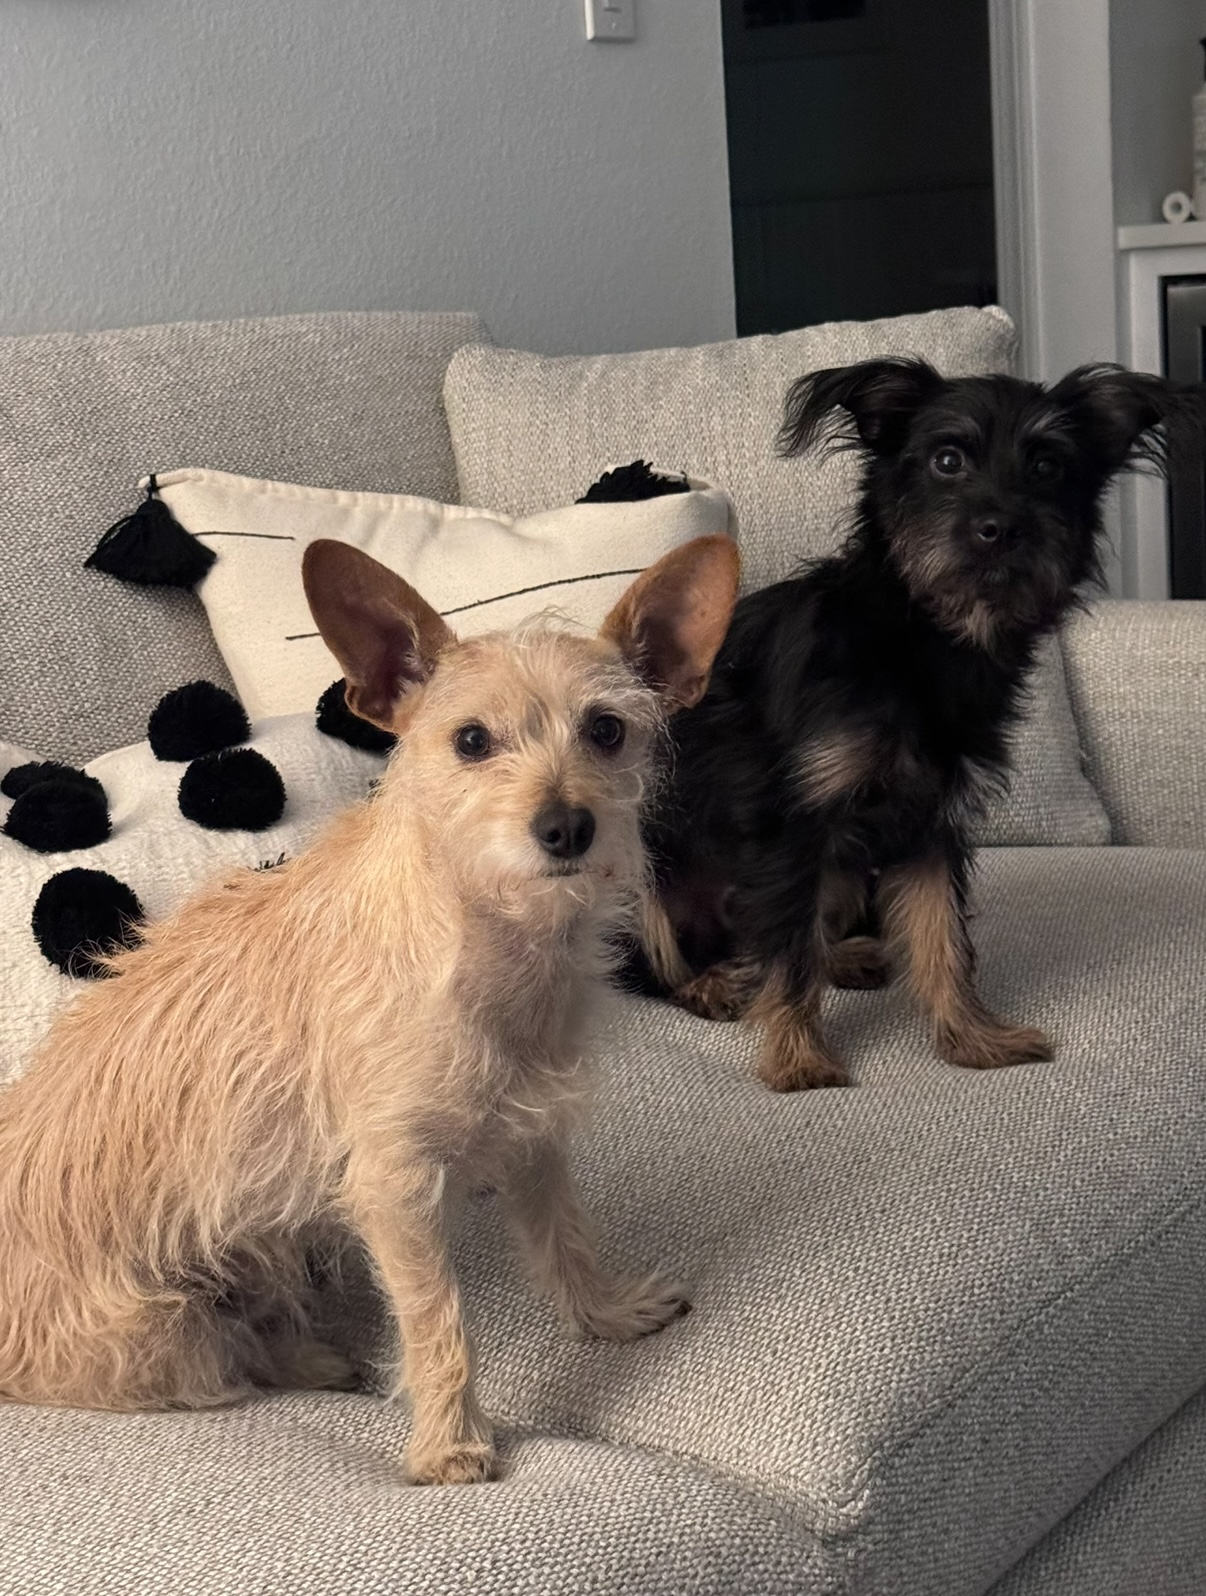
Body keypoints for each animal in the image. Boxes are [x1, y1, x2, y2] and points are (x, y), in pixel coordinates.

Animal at [0, 532, 739, 1485]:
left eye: (607, 730)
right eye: (471, 741)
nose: (566, 828)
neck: (493, 938)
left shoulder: (535, 1134)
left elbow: (567, 1239)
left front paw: (607, 1315)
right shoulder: (395, 1188)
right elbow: (437, 1322)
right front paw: (452, 1445)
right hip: (166, 1328)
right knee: (224, 1367)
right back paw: (314, 1361)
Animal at [640, 358, 1203, 1093]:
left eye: (1048, 466)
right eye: (947, 460)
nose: (1001, 528)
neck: (923, 638)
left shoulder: (928, 823)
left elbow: (944, 943)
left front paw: (972, 1039)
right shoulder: (793, 820)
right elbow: (789, 955)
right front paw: (798, 1059)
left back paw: (836, 957)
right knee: (655, 966)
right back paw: (710, 985)